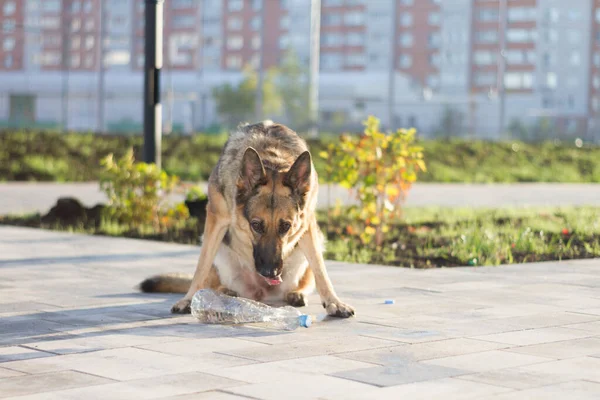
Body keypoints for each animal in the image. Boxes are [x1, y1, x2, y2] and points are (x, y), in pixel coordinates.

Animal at [138, 120, 354, 318]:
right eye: (256, 225)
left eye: (286, 226)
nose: (269, 273)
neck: (272, 159)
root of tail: (260, 295)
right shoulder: (216, 219)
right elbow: (202, 266)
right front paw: (189, 299)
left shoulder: (307, 224)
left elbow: (320, 268)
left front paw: (334, 301)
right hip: (218, 250)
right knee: (212, 281)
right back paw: (224, 292)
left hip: (314, 242)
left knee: (307, 279)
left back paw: (296, 293)